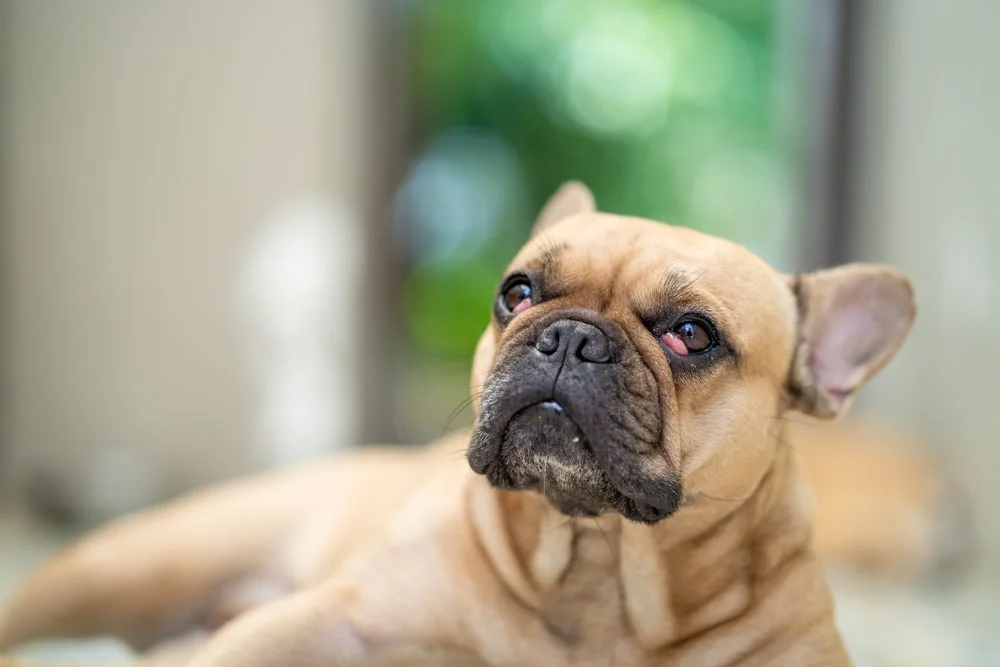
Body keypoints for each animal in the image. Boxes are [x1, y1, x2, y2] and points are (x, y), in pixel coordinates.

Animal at [0, 183, 916, 667]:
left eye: (692, 333)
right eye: (517, 290)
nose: (570, 335)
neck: (598, 566)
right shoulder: (323, 622)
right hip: (116, 569)